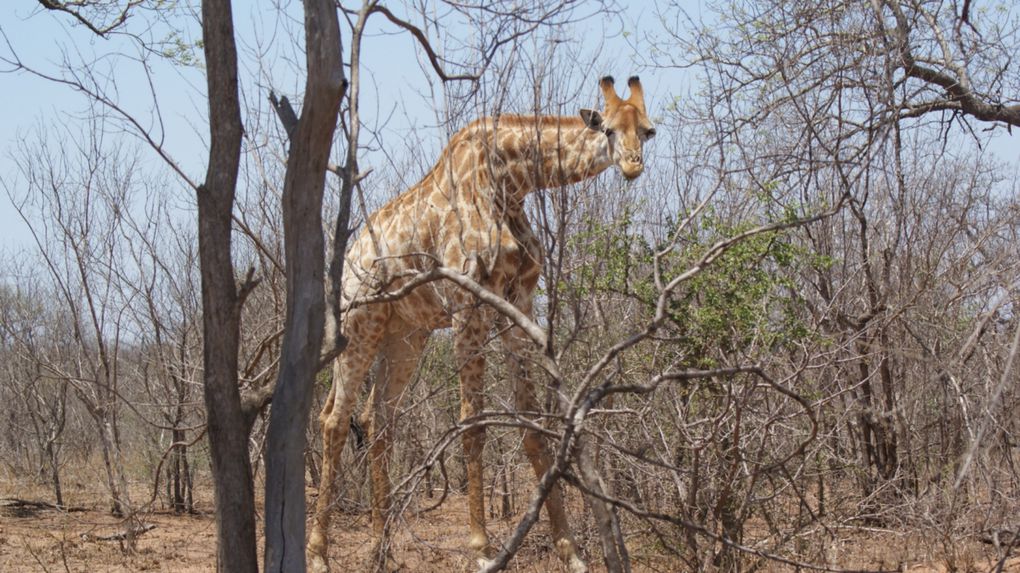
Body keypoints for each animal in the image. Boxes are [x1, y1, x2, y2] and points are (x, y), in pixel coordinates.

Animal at [306, 75, 652, 570]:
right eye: (606, 129)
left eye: (648, 131)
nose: (632, 166)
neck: (512, 181)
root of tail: (350, 259)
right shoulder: (467, 304)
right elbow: (474, 424)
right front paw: (481, 549)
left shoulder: (518, 304)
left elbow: (532, 426)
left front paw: (570, 550)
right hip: (360, 324)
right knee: (334, 420)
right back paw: (318, 553)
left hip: (405, 335)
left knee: (378, 419)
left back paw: (380, 546)